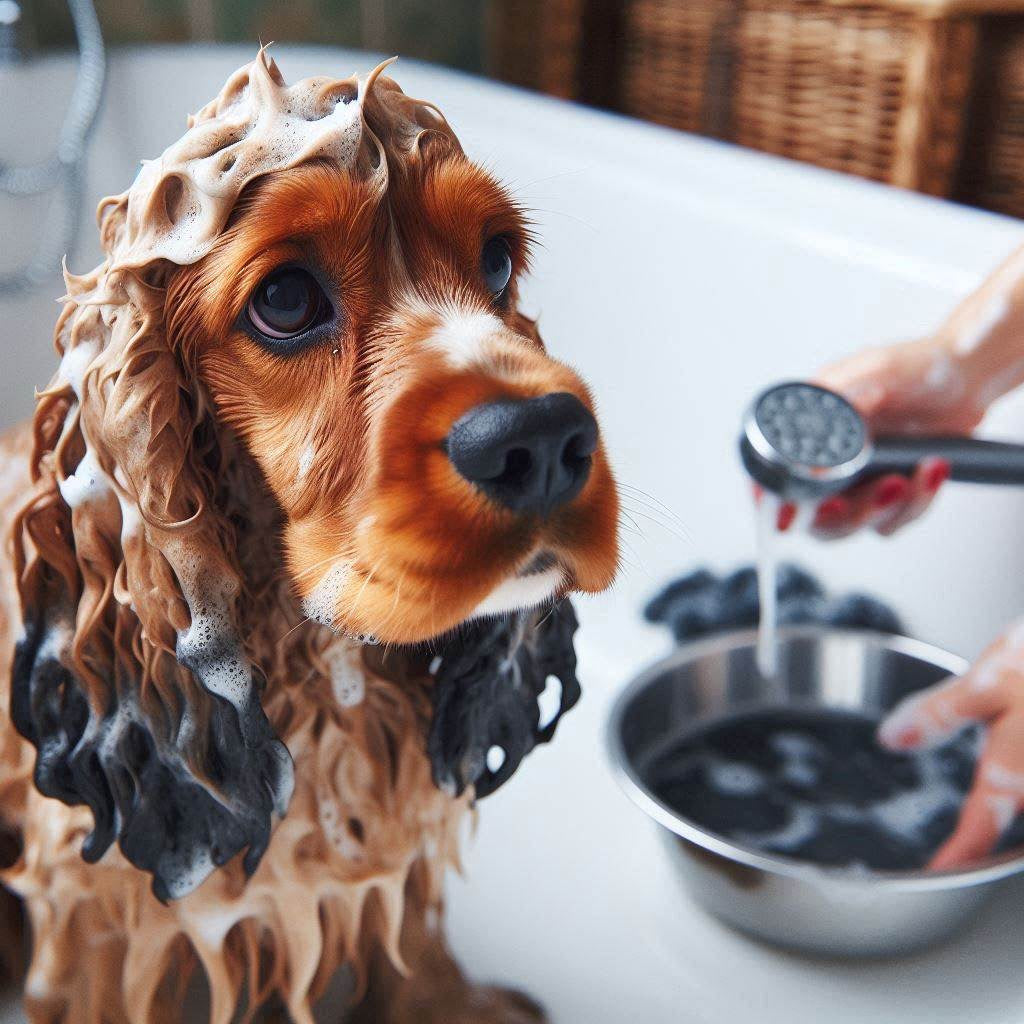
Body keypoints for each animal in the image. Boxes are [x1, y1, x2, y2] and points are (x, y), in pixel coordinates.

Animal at [0, 56, 614, 1024]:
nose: (547, 440)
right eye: (285, 300)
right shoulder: (100, 913)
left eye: (497, 258)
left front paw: (450, 1001)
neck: (314, 663)